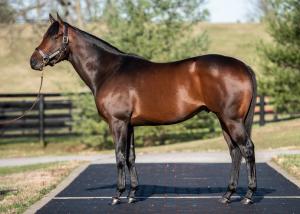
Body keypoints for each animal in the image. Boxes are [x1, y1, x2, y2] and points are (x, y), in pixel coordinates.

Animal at [29, 14, 256, 205]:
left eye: (56, 36)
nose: (34, 61)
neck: (109, 71)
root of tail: (243, 67)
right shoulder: (129, 125)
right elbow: (130, 157)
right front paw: (132, 194)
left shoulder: (117, 122)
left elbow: (119, 156)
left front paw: (118, 195)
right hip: (224, 120)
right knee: (235, 152)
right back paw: (228, 195)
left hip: (232, 120)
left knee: (247, 149)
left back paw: (248, 195)